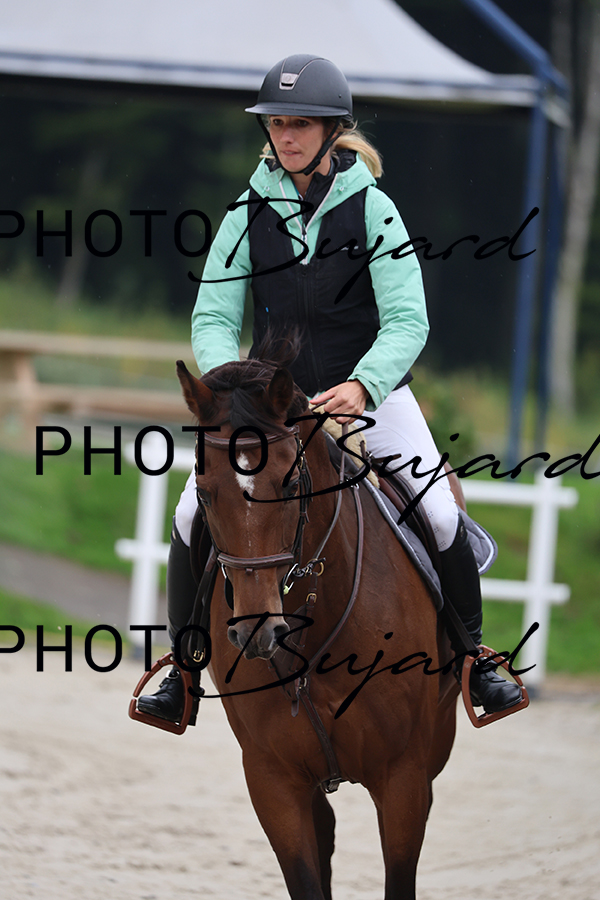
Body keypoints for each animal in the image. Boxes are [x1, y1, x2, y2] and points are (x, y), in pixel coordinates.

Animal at [176, 355, 460, 900]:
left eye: (290, 484)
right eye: (203, 492)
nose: (257, 631)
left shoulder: (403, 777)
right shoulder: (273, 779)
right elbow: (307, 877)